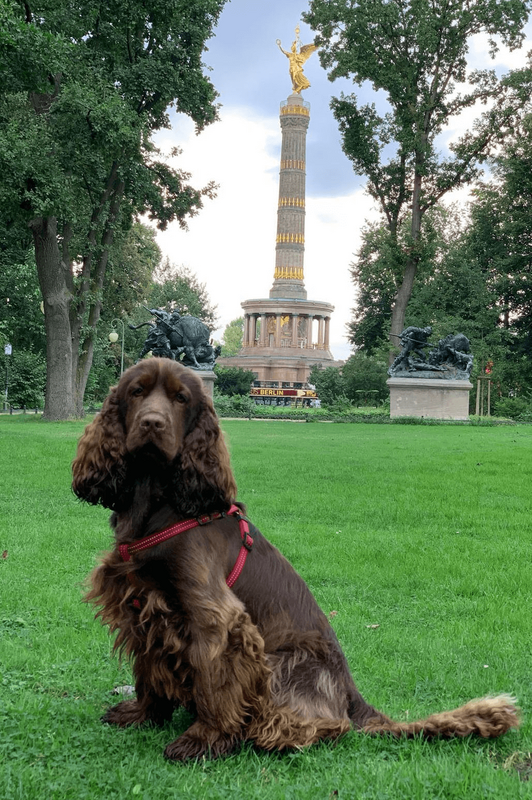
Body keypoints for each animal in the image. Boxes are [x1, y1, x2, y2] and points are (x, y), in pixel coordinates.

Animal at [72, 358, 519, 761]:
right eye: (137, 392)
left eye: (181, 398)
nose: (152, 424)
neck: (156, 501)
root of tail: (350, 691)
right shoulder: (141, 604)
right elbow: (149, 671)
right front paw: (142, 713)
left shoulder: (216, 618)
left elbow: (214, 683)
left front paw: (204, 738)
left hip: (286, 662)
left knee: (328, 725)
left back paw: (266, 732)